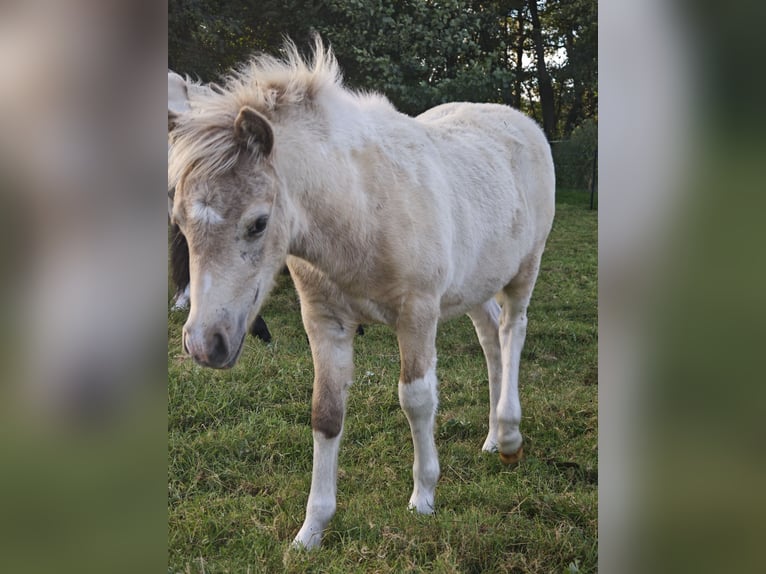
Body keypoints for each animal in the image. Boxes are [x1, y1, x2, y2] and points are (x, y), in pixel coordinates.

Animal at [167, 38, 555, 549]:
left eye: (258, 223)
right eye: (179, 220)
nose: (203, 345)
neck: (360, 212)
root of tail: (522, 121)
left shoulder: (417, 314)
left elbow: (416, 399)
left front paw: (423, 497)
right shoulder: (325, 321)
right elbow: (325, 413)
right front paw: (311, 531)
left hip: (525, 267)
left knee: (513, 332)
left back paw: (509, 437)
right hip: (475, 283)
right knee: (491, 337)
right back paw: (492, 437)